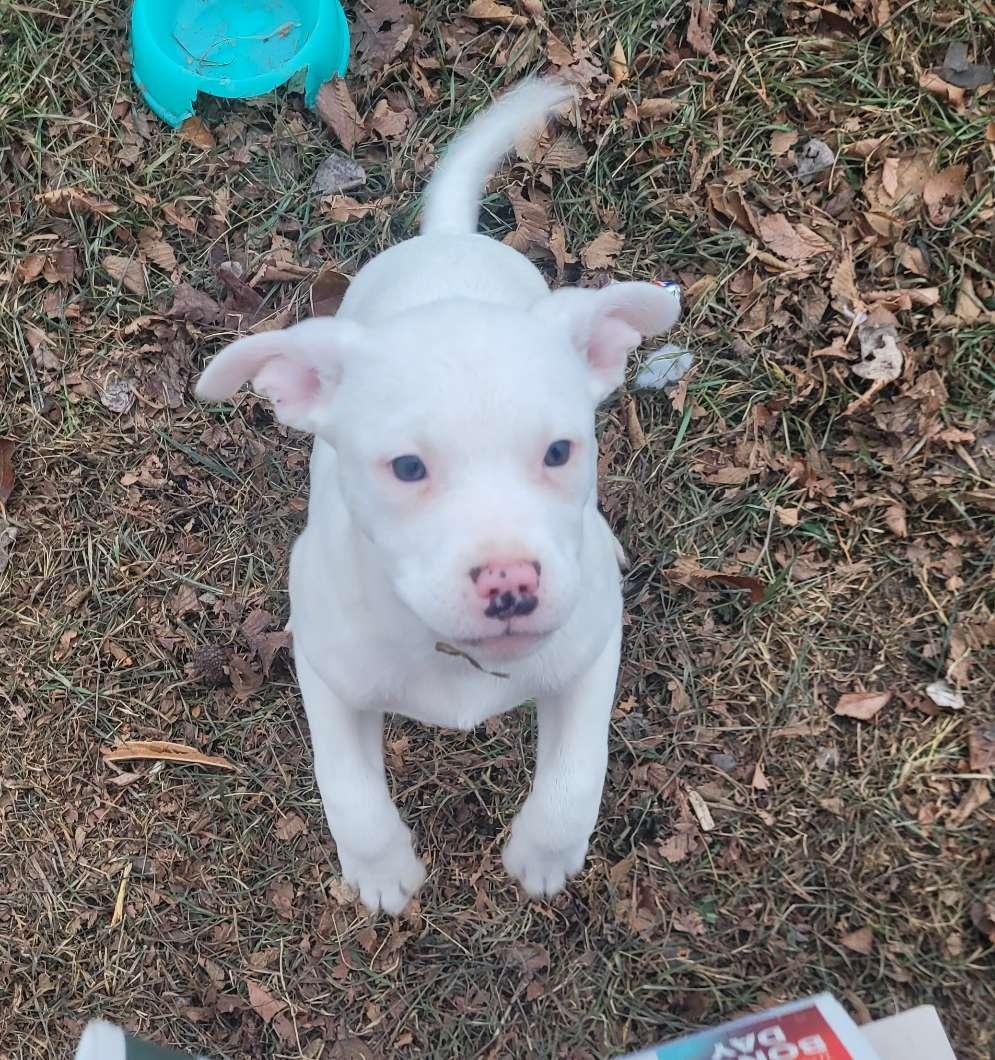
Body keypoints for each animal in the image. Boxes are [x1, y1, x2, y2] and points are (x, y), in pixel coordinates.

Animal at [198, 80, 682, 911]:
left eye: (560, 451)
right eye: (405, 468)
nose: (510, 583)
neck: (447, 655)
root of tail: (448, 239)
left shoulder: (591, 654)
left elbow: (575, 774)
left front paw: (544, 854)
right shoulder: (326, 672)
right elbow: (347, 788)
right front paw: (381, 872)